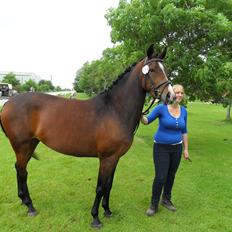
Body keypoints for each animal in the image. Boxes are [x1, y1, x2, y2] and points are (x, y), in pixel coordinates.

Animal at [0, 44, 174, 227]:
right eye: (152, 70)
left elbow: (109, 185)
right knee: (22, 171)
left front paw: (107, 211)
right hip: (22, 146)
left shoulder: (115, 157)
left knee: (19, 169)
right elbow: (100, 187)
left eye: (166, 70)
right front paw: (95, 218)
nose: (170, 95)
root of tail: (8, 103)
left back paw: (24, 201)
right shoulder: (106, 158)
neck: (114, 110)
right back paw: (30, 206)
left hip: (30, 144)